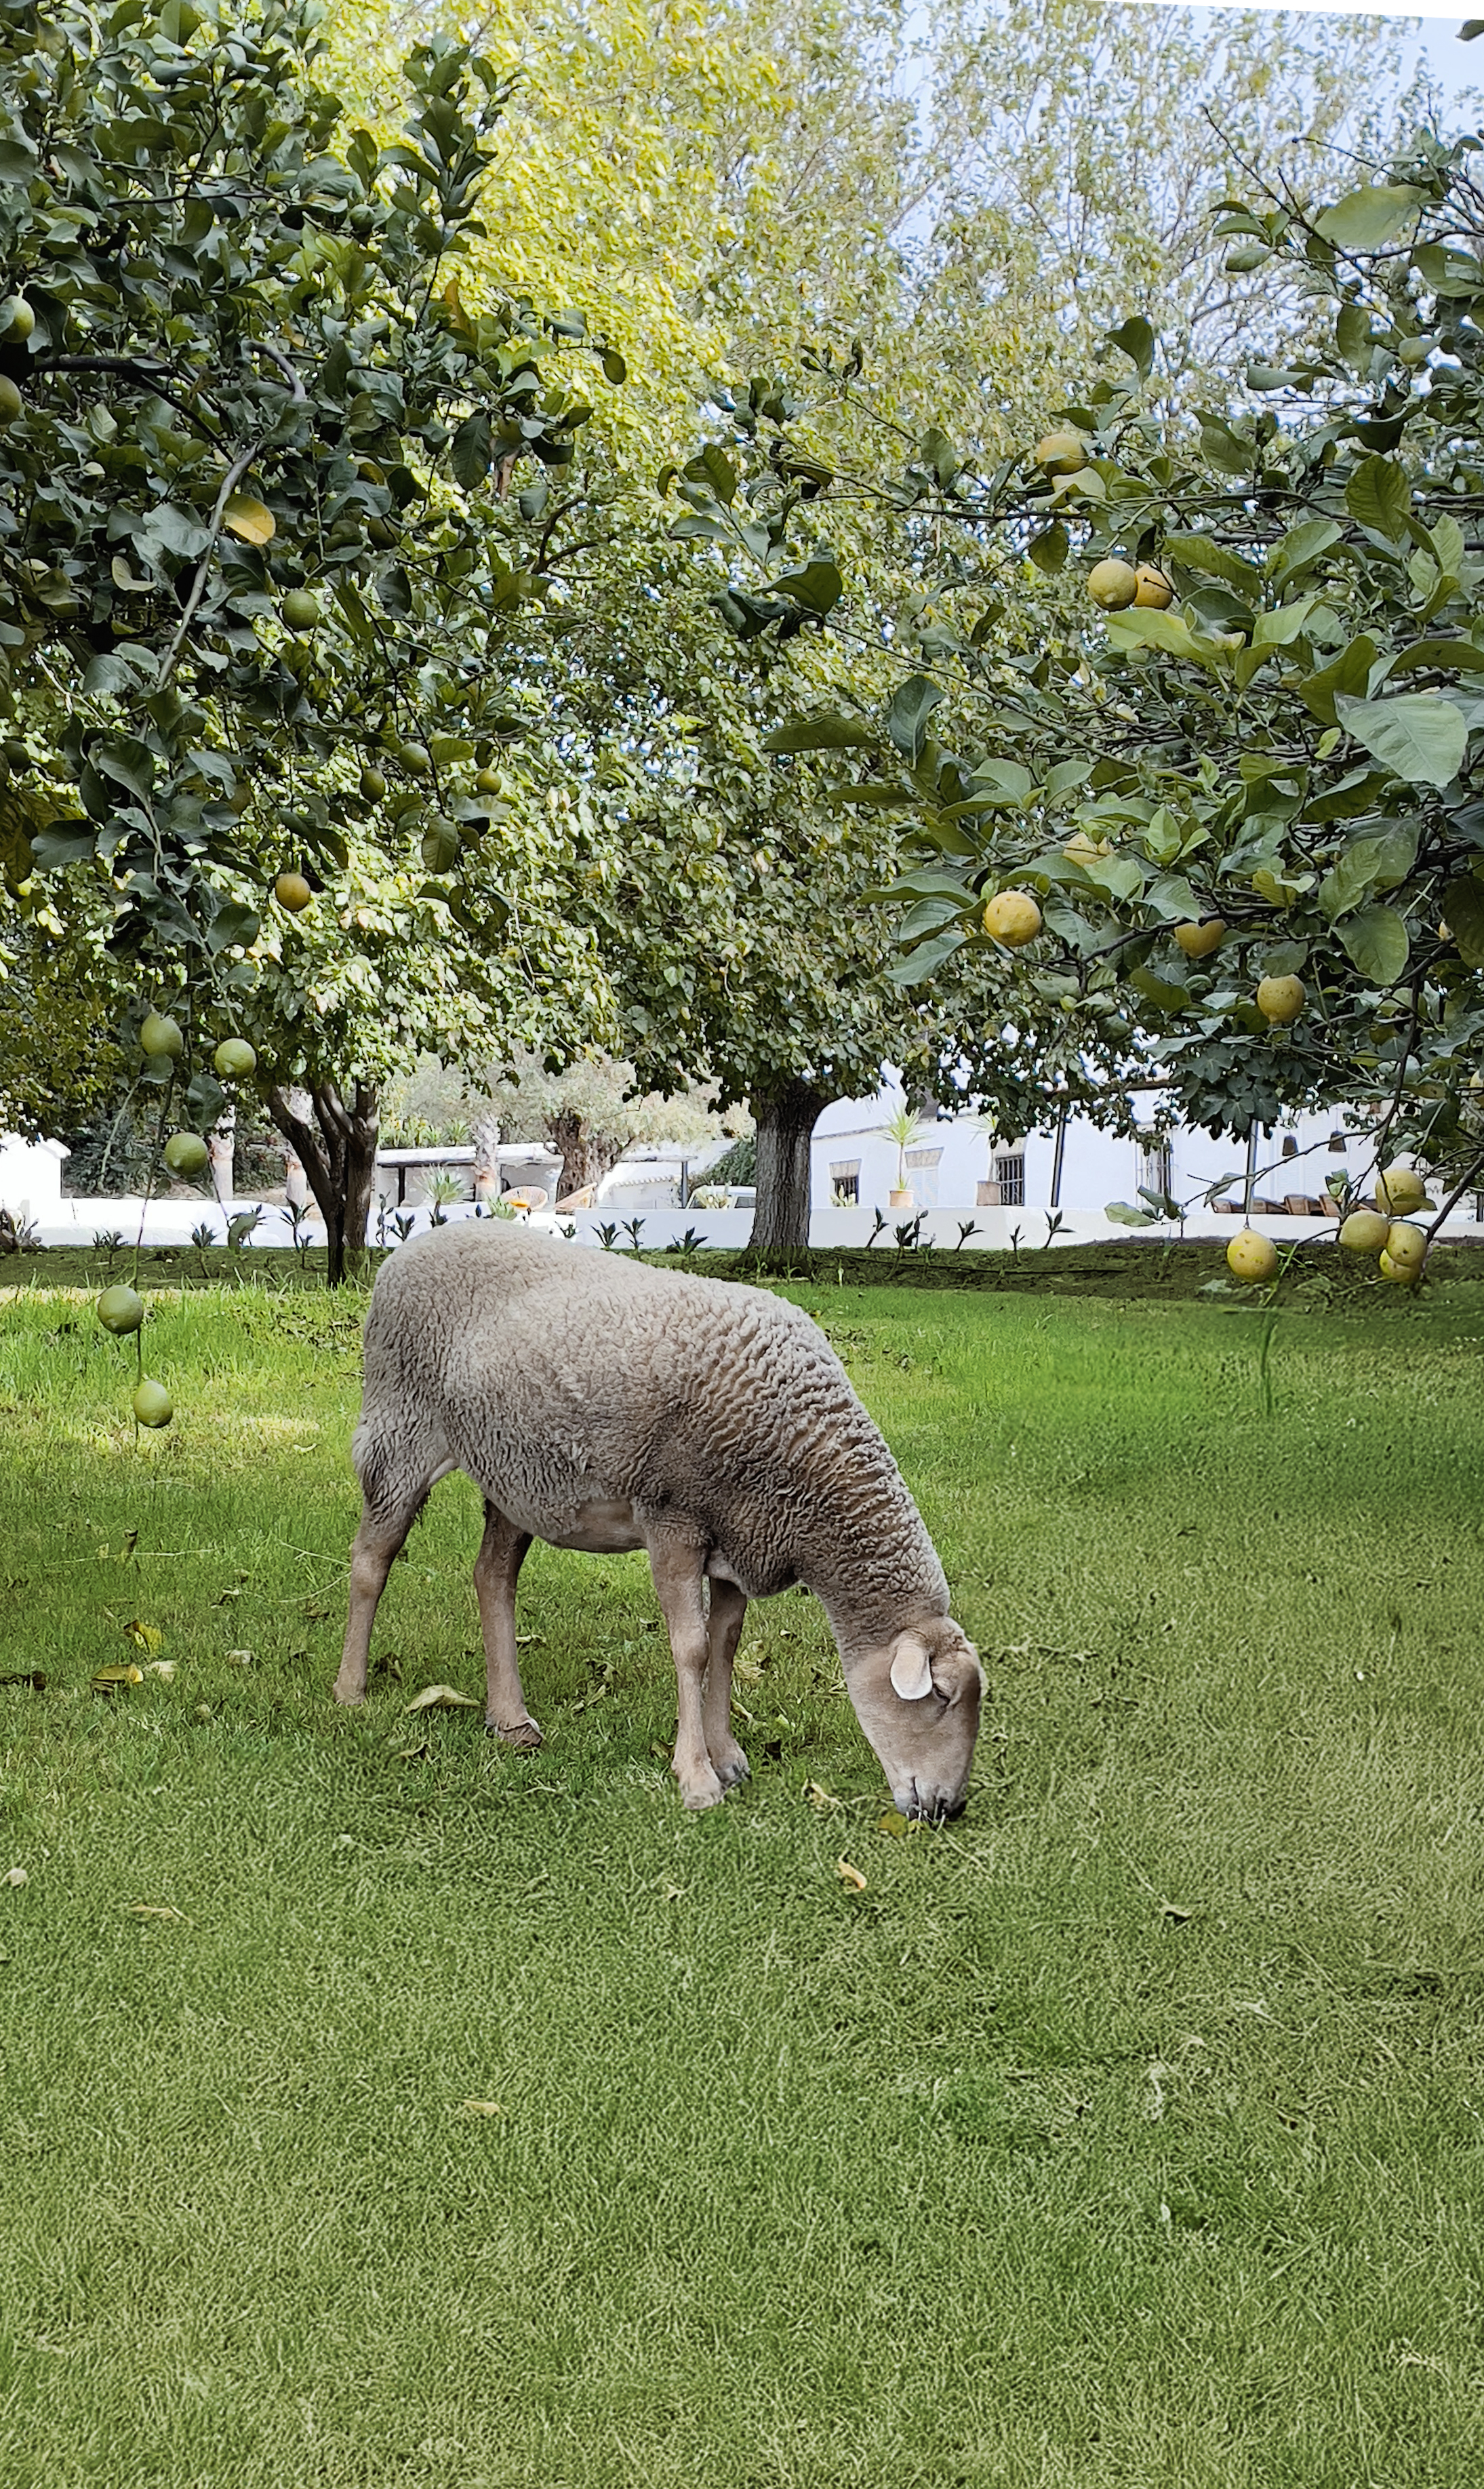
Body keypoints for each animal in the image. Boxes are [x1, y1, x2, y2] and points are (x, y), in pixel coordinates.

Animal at [334, 1221, 982, 1818]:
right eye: (939, 1696)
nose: (947, 1807)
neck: (805, 1476)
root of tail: (410, 1246)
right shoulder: (675, 1518)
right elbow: (691, 1648)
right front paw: (696, 1777)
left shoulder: (737, 1535)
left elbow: (725, 1644)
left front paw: (728, 1756)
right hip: (398, 1430)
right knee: (371, 1561)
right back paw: (350, 1690)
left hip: (515, 1470)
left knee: (491, 1575)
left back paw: (511, 1719)